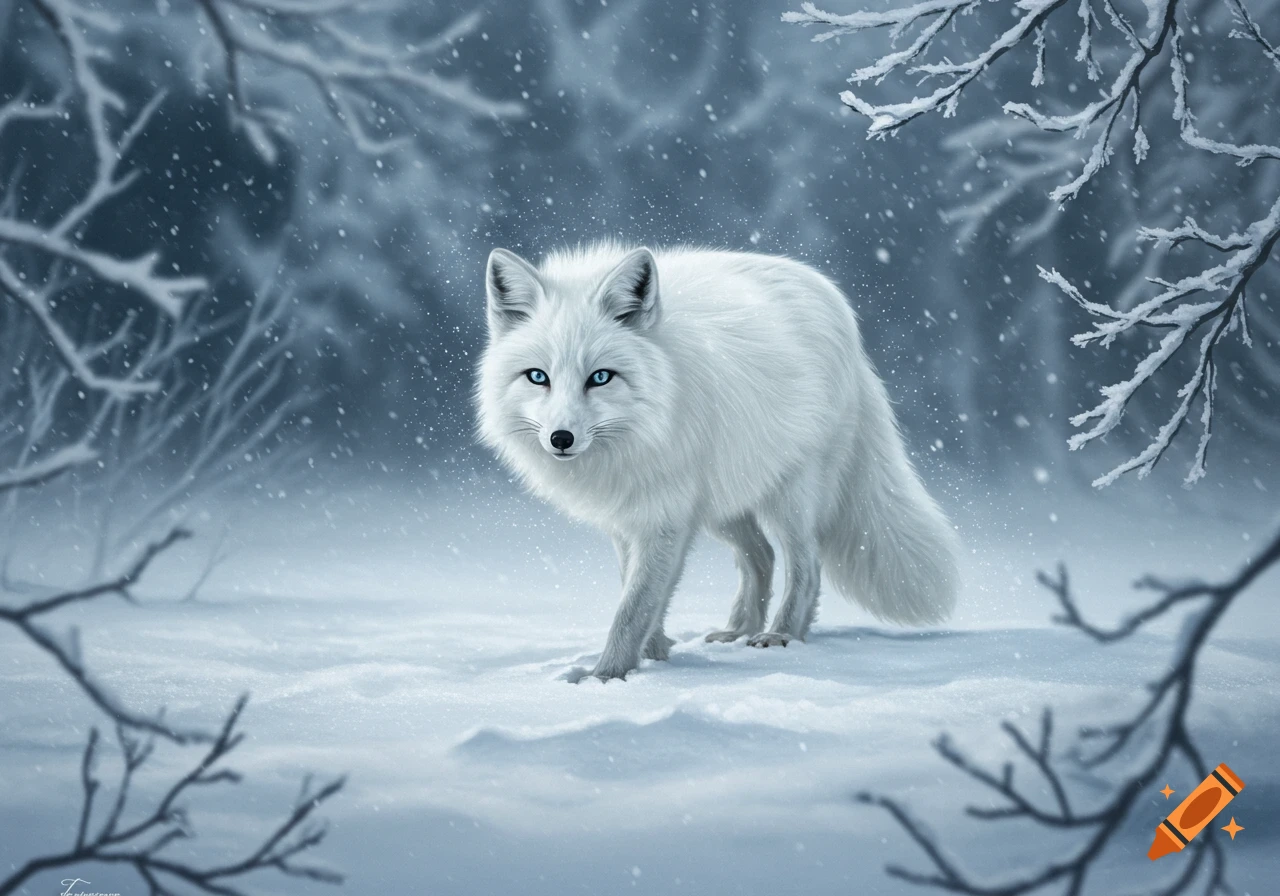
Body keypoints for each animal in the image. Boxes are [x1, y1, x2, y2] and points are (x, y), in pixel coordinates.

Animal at [476, 243, 960, 682]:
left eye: (600, 377)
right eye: (538, 377)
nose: (561, 439)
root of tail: (837, 306)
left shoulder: (665, 518)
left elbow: (634, 606)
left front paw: (607, 676)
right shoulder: (630, 517)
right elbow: (638, 592)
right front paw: (654, 654)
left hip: (789, 496)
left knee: (807, 564)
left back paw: (781, 635)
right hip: (724, 505)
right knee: (761, 557)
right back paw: (738, 631)